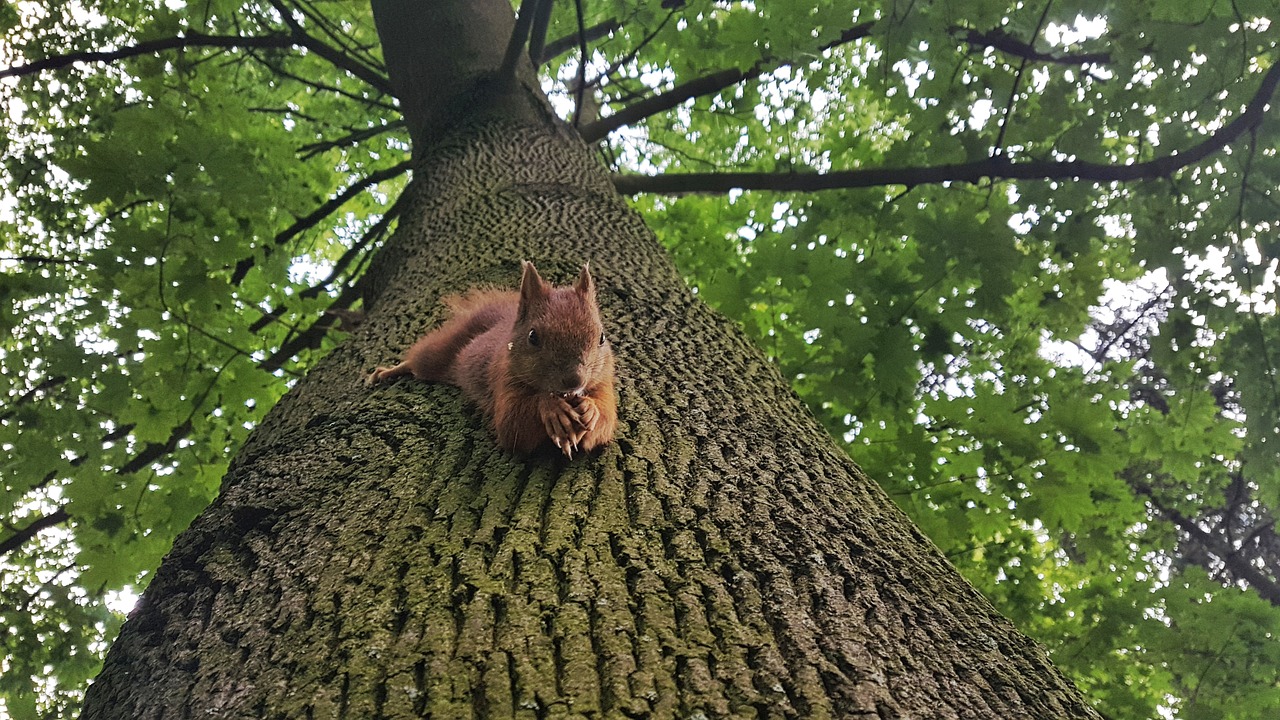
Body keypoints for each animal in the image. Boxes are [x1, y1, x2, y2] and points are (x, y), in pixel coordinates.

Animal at [368, 260, 616, 456]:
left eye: (602, 337)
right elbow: (512, 424)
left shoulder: (604, 384)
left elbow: (606, 423)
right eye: (533, 336)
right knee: (418, 361)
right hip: (438, 353)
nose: (574, 380)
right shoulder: (503, 379)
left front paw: (592, 409)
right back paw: (386, 372)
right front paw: (552, 408)